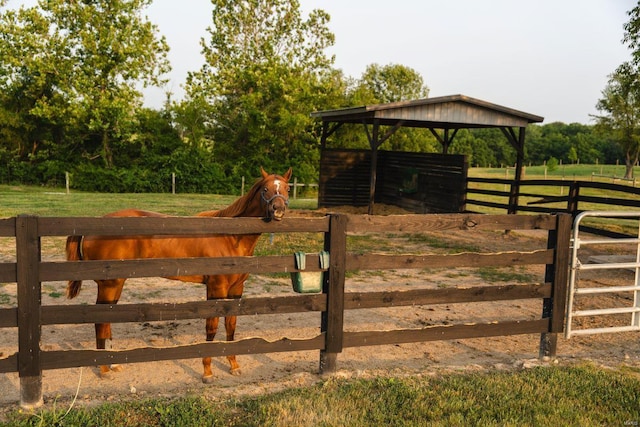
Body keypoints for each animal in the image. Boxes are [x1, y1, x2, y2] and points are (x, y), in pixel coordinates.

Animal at [65, 168, 292, 384]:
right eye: (265, 189)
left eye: (287, 188)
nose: (278, 209)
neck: (230, 237)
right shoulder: (216, 289)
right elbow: (211, 328)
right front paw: (207, 372)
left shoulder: (236, 290)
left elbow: (231, 326)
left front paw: (234, 366)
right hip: (109, 285)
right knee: (100, 322)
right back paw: (104, 370)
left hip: (116, 284)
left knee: (106, 321)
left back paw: (113, 365)